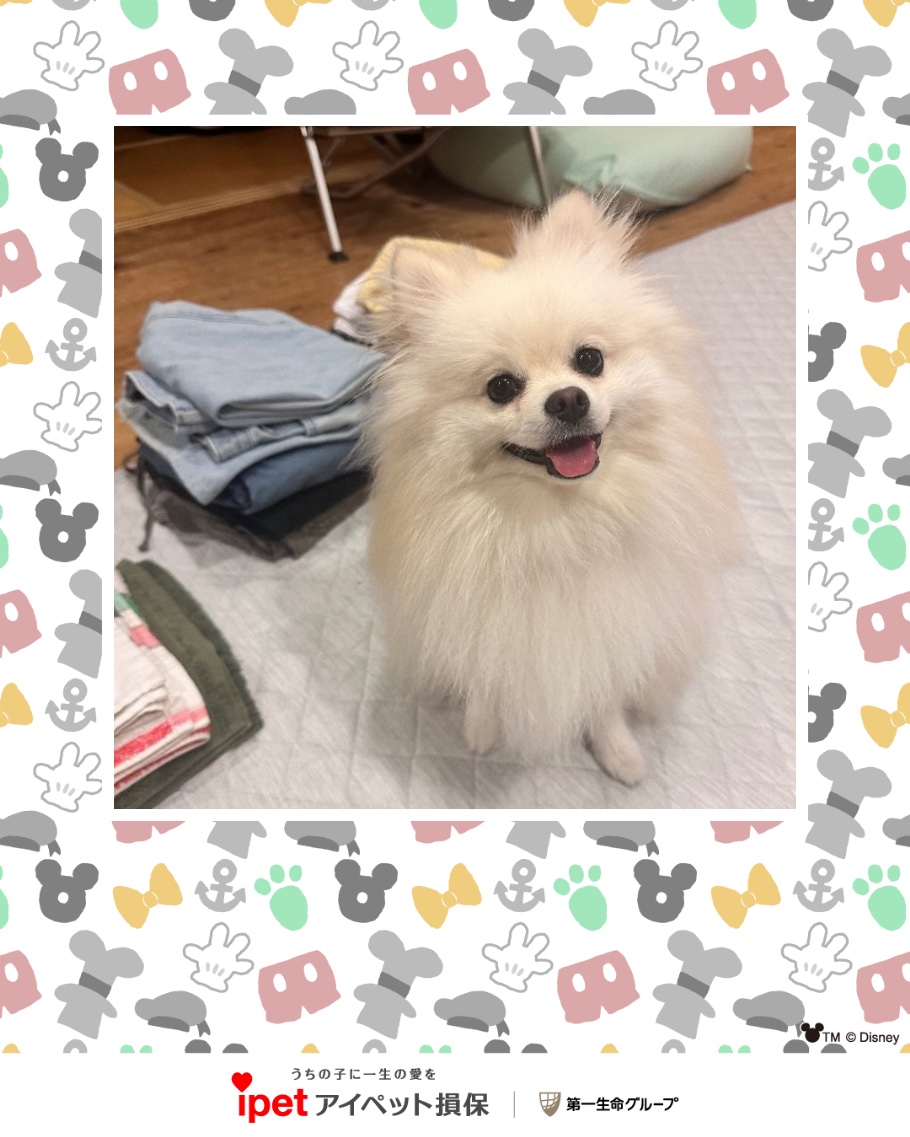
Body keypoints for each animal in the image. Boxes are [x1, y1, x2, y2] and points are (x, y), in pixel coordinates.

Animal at [365, 191, 740, 786]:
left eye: (589, 359)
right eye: (501, 387)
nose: (567, 399)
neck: (555, 523)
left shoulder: (614, 625)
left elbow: (605, 695)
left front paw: (618, 752)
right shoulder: (474, 620)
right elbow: (484, 677)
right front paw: (481, 729)